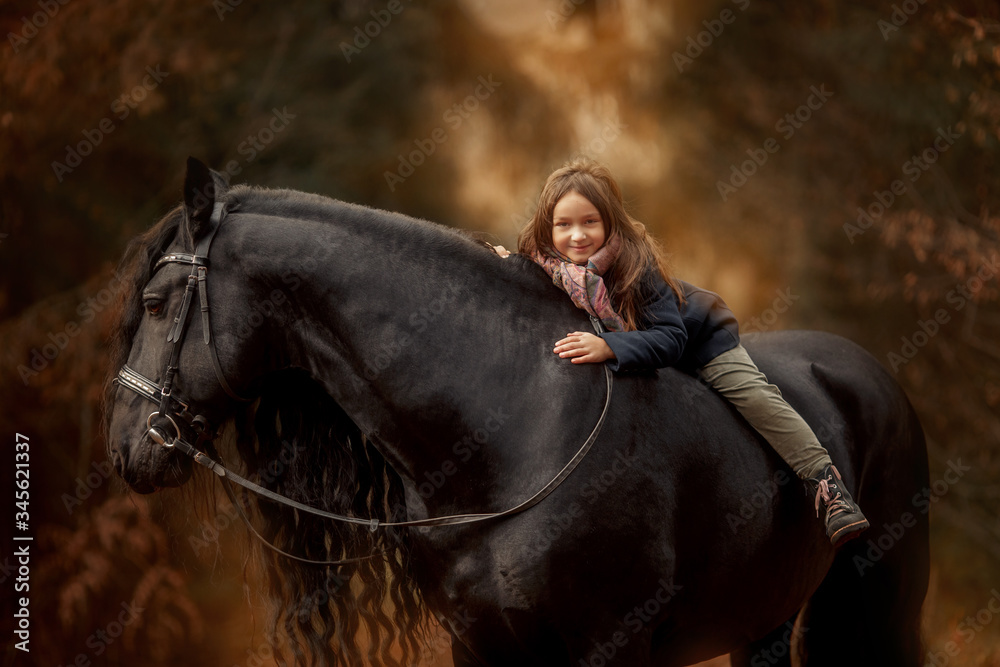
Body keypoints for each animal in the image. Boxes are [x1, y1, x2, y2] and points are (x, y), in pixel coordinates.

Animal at [105, 158, 929, 666]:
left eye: (157, 302)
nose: (123, 448)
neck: (514, 426)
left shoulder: (611, 643)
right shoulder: (480, 644)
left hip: (882, 599)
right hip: (765, 619)